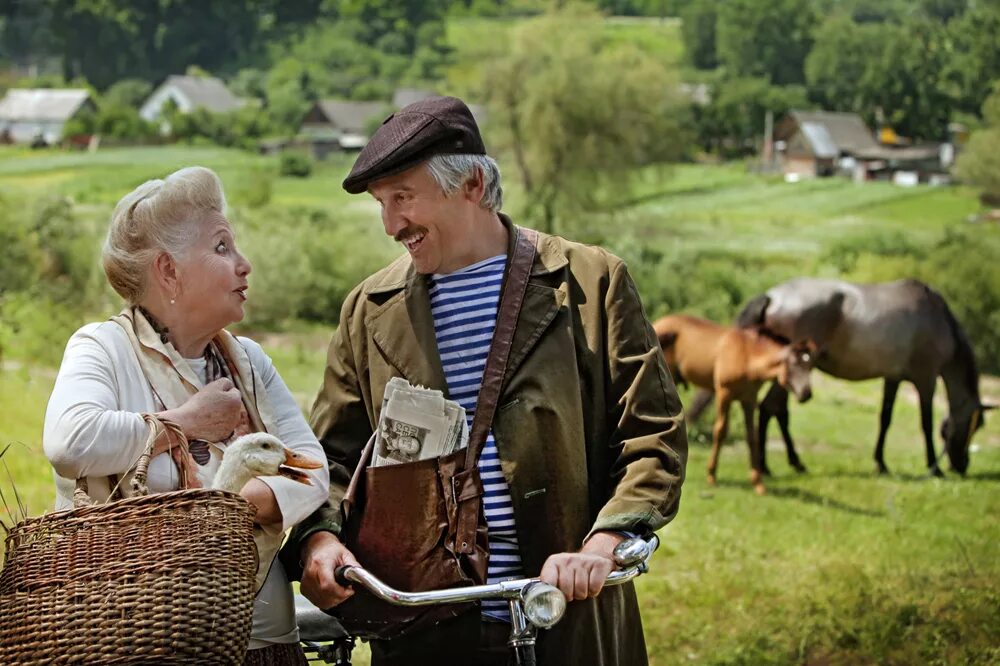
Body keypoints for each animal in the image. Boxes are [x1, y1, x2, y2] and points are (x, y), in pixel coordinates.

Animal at [652, 312, 816, 492]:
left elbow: (752, 435)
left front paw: (758, 482)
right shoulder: (724, 394)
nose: (806, 394)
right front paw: (711, 475)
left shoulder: (749, 400)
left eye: (810, 366)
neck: (747, 356)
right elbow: (720, 431)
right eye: (794, 363)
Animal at [732, 278, 996, 474]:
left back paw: (791, 463)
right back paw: (768, 466)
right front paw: (933, 467)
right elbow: (926, 422)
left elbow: (885, 418)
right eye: (976, 425)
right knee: (770, 408)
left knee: (776, 410)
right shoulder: (926, 379)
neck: (937, 319)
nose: (961, 466)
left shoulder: (893, 378)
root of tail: (772, 297)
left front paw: (881, 463)